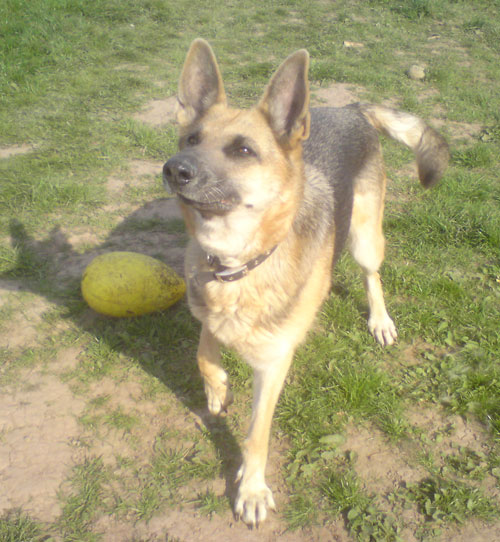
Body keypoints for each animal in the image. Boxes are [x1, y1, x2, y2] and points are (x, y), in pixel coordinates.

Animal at [163, 37, 450, 528]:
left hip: (364, 238)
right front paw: (217, 387)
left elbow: (256, 435)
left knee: (372, 275)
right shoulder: (207, 304)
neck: (241, 262)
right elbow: (205, 350)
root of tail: (350, 108)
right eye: (192, 139)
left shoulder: (273, 363)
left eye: (243, 151)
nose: (174, 168)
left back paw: (379, 319)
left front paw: (251, 488)